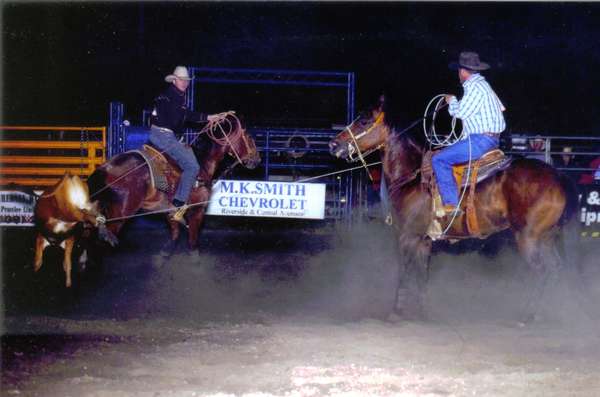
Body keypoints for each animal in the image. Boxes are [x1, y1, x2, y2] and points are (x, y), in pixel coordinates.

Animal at [87, 114, 260, 249]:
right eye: (249, 136)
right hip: (118, 216)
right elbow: (192, 244)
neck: (202, 162)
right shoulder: (197, 211)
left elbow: (173, 240)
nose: (257, 159)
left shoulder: (170, 215)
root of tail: (104, 168)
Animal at [330, 100, 580, 322]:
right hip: (547, 236)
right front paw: (423, 313)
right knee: (555, 269)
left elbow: (405, 272)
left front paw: (396, 312)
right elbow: (422, 275)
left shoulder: (407, 235)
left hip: (528, 237)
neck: (413, 176)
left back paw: (527, 315)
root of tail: (558, 176)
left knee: (541, 271)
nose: (333, 144)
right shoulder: (424, 240)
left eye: (363, 121)